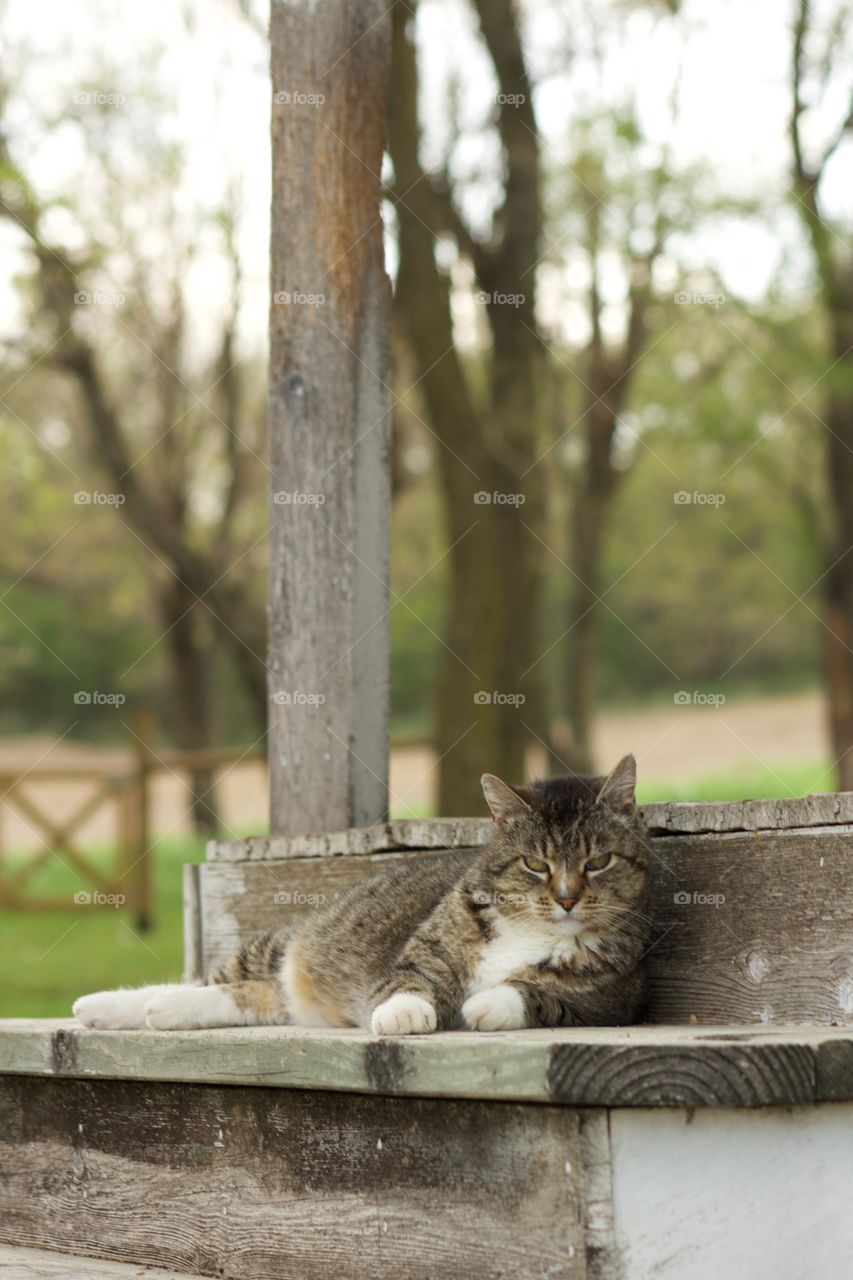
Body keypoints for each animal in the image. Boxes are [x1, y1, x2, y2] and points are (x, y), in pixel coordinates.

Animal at [74, 752, 650, 1034]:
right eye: (535, 863)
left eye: (597, 861)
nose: (567, 898)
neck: (531, 929)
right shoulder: (424, 952)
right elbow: (409, 978)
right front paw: (405, 1012)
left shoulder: (608, 1000)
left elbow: (534, 993)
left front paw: (486, 1004)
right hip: (279, 945)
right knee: (210, 981)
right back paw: (103, 1005)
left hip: (275, 996)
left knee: (239, 996)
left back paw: (159, 1010)